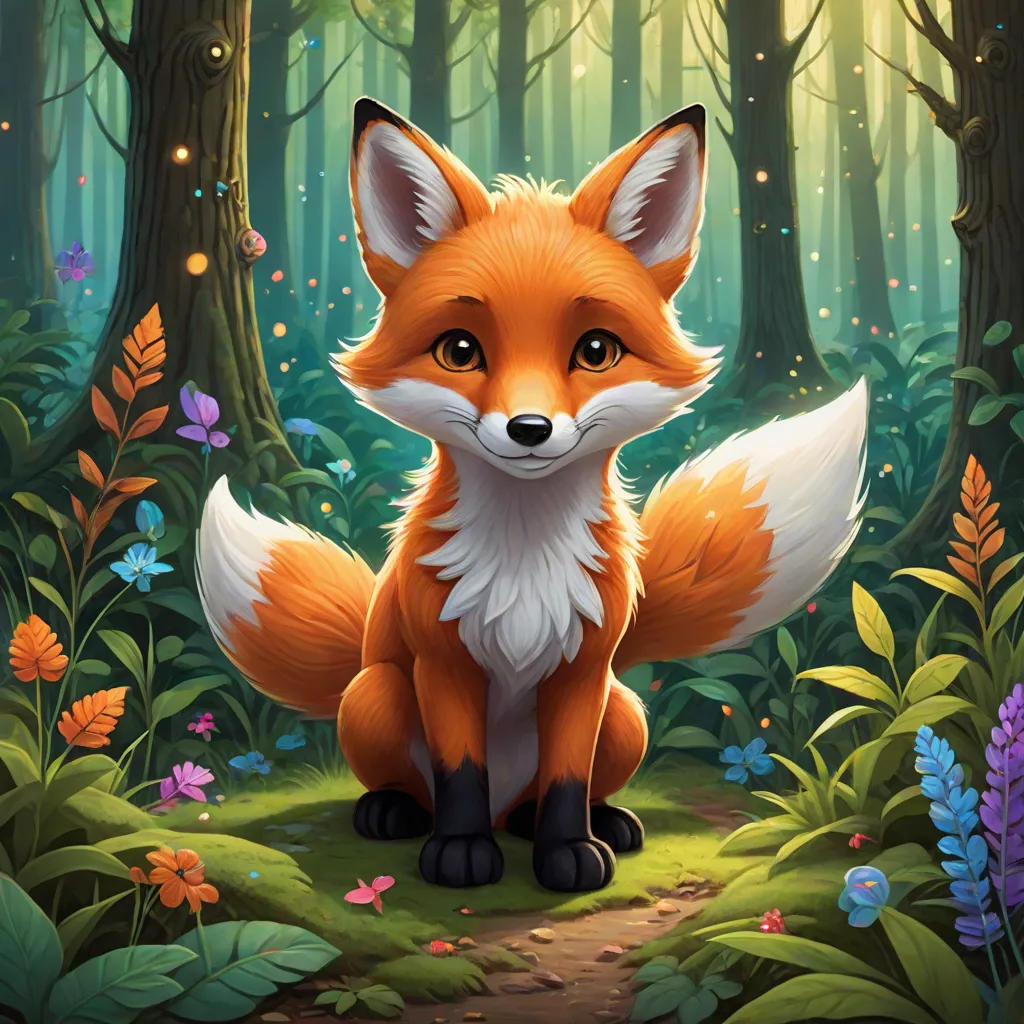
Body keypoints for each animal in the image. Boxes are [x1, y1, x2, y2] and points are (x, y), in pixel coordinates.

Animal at [197, 97, 867, 893]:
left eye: (596, 350)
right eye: (460, 350)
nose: (529, 429)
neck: (523, 557)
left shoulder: (583, 674)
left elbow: (567, 780)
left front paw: (570, 851)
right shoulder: (445, 663)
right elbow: (459, 775)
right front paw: (459, 853)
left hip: (625, 711)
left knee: (547, 791)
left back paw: (589, 822)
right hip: (375, 694)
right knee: (418, 784)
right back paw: (395, 811)